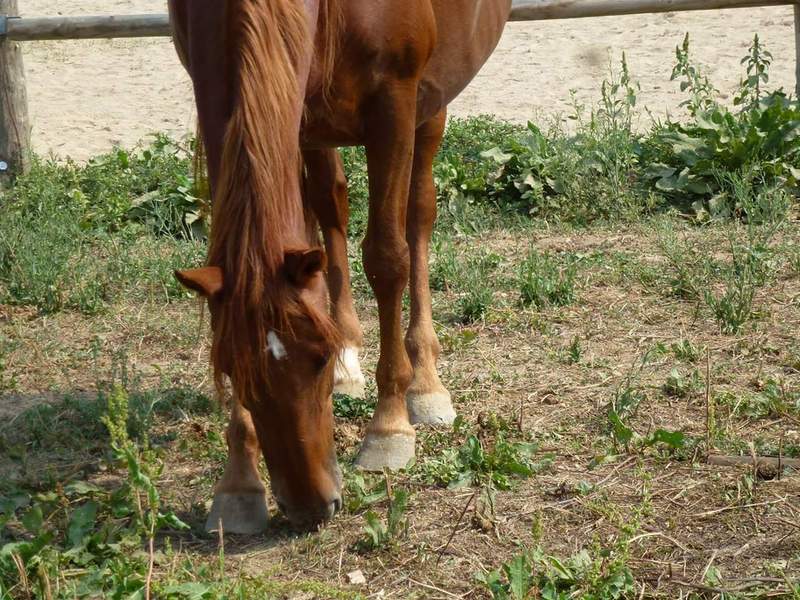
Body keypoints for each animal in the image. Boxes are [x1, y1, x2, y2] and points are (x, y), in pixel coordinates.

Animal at [168, 0, 511, 532]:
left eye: (318, 359)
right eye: (228, 368)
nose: (310, 508)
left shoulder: (394, 101)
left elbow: (388, 257)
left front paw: (388, 426)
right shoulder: (217, 100)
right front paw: (238, 483)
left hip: (430, 100)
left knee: (419, 213)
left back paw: (425, 381)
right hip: (312, 116)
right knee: (329, 207)